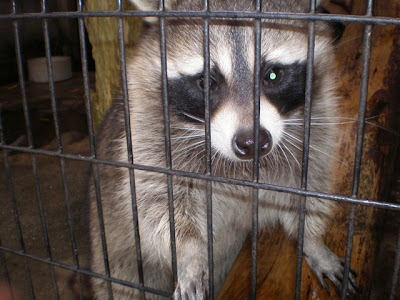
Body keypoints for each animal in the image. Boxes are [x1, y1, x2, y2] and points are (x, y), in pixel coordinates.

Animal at [89, 0, 358, 298]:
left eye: (272, 75)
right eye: (207, 82)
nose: (252, 142)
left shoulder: (315, 123)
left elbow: (309, 187)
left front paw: (312, 241)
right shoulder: (148, 132)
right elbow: (159, 203)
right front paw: (190, 253)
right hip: (112, 242)